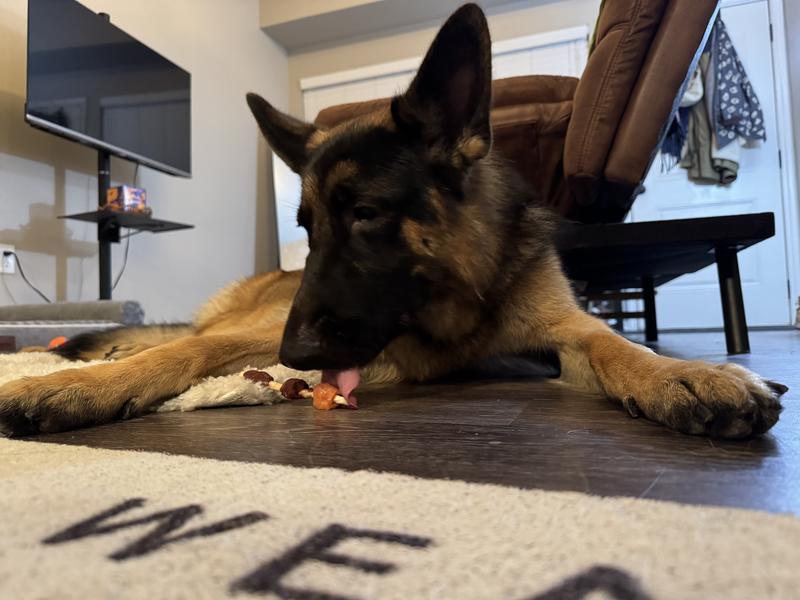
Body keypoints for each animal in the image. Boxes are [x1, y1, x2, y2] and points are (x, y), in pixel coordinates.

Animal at [0, 4, 786, 438]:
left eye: (366, 214)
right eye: (307, 226)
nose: (295, 354)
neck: (459, 300)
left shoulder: (565, 329)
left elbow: (618, 343)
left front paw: (684, 373)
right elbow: (181, 355)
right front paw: (71, 387)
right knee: (182, 338)